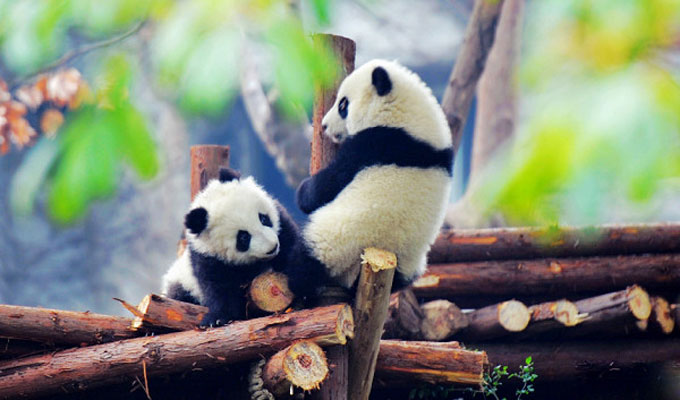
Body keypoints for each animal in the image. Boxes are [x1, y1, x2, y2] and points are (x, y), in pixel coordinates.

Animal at [160, 167, 306, 326]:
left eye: (263, 218)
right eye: (243, 237)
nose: (272, 247)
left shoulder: (282, 228)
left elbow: (291, 252)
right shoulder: (208, 257)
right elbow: (218, 287)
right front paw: (216, 319)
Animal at [296, 58, 452, 290]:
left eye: (343, 105)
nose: (323, 125)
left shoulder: (373, 144)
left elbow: (326, 186)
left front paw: (303, 192)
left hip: (336, 240)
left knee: (303, 260)